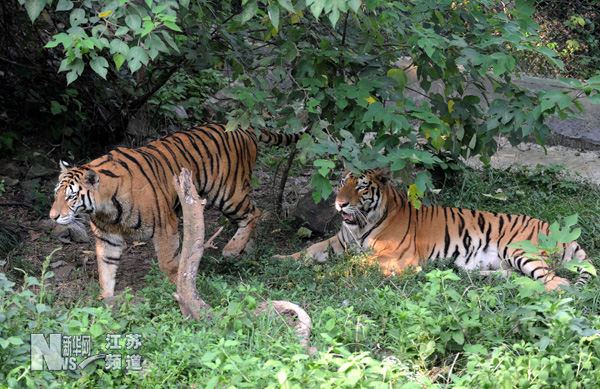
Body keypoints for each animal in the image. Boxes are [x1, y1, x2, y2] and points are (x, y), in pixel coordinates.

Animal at [49, 124, 300, 298]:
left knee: (254, 213)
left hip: (229, 193)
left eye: (71, 196)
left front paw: (175, 291)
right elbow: (106, 268)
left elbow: (169, 262)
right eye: (56, 194)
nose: (52, 216)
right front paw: (105, 301)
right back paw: (246, 251)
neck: (106, 209)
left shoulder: (164, 225)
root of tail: (243, 126)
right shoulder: (107, 237)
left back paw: (232, 249)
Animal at [278, 168, 596, 290]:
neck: (360, 224)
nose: (340, 203)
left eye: (360, 188)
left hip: (521, 251)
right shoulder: (339, 242)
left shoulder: (398, 258)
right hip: (494, 262)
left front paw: (329, 273)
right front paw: (280, 259)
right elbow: (310, 250)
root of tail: (557, 229)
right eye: (342, 183)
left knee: (558, 282)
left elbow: (354, 265)